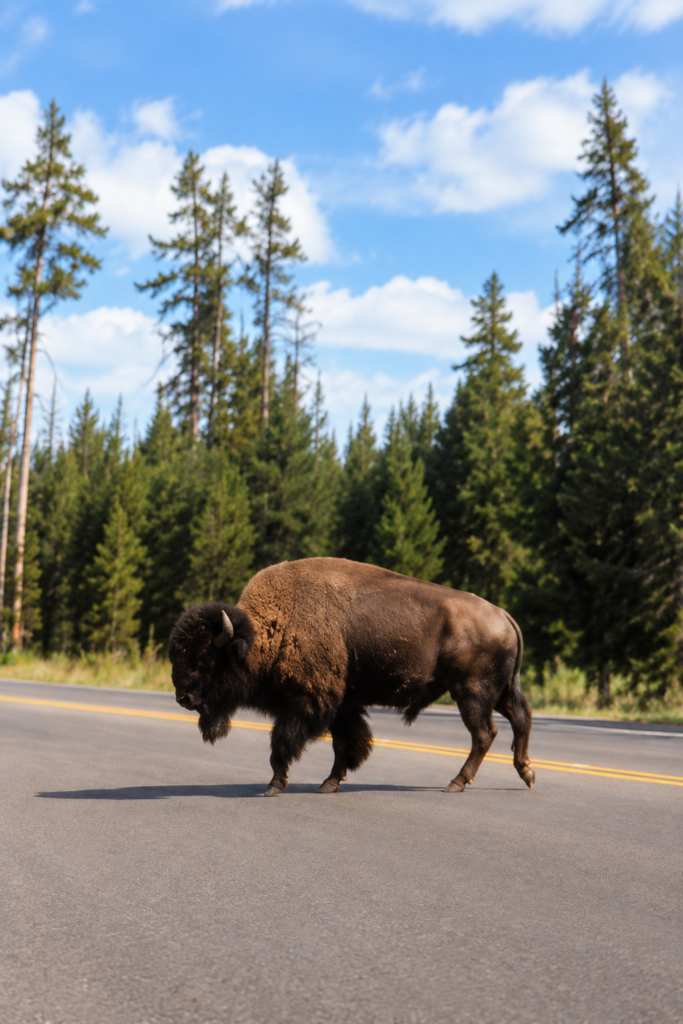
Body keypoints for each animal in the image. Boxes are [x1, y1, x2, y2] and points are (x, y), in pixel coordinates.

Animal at [169, 557, 534, 796]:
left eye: (206, 659)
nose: (182, 698)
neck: (268, 631)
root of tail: (504, 615)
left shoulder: (308, 701)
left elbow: (282, 742)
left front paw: (274, 786)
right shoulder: (341, 705)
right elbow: (346, 744)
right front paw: (329, 783)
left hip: (471, 693)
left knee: (484, 733)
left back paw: (456, 783)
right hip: (496, 692)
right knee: (520, 719)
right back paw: (526, 773)